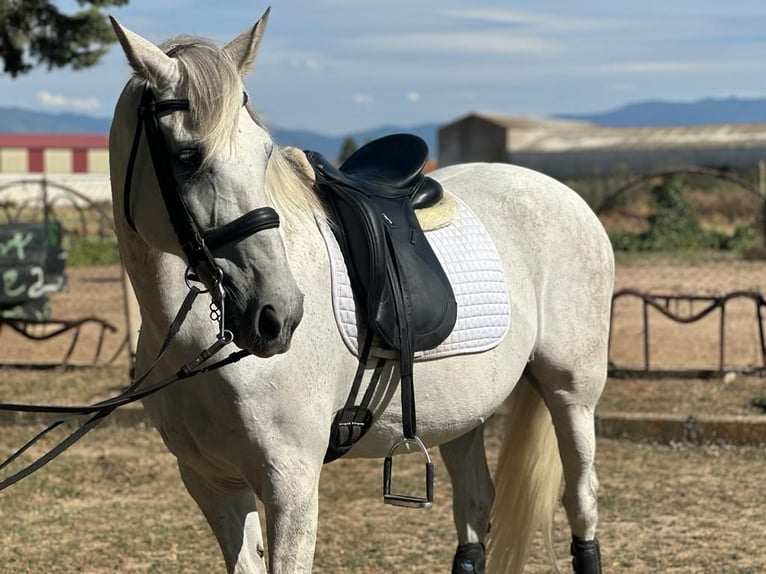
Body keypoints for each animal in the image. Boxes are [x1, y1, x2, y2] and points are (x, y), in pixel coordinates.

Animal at [108, 9, 614, 574]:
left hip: (572, 392)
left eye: (264, 153)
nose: (278, 313)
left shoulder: (291, 485)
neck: (195, 348)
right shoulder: (213, 485)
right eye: (187, 156)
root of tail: (561, 191)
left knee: (581, 499)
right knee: (475, 504)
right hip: (465, 413)